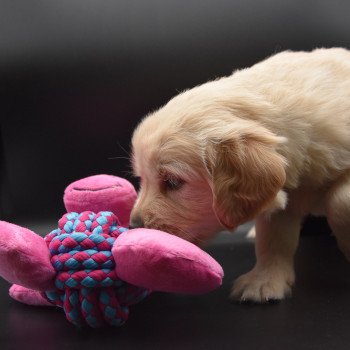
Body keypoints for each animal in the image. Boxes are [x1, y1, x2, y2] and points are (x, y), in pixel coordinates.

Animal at [130, 47, 350, 302]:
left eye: (173, 182)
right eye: (142, 179)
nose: (133, 226)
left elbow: (340, 202)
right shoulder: (281, 195)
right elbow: (273, 236)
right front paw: (264, 280)